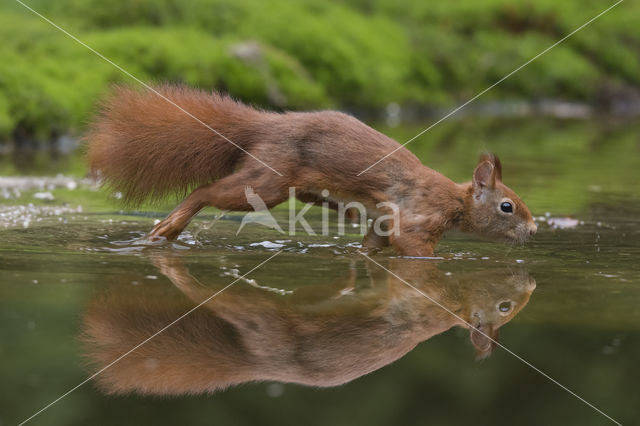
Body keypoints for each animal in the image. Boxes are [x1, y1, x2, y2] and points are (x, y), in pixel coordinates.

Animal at [85, 85, 536, 255]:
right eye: (508, 207)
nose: (533, 231)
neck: (455, 200)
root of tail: (266, 126)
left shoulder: (384, 222)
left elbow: (373, 243)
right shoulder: (418, 217)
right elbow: (414, 247)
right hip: (265, 182)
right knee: (205, 192)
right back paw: (169, 227)